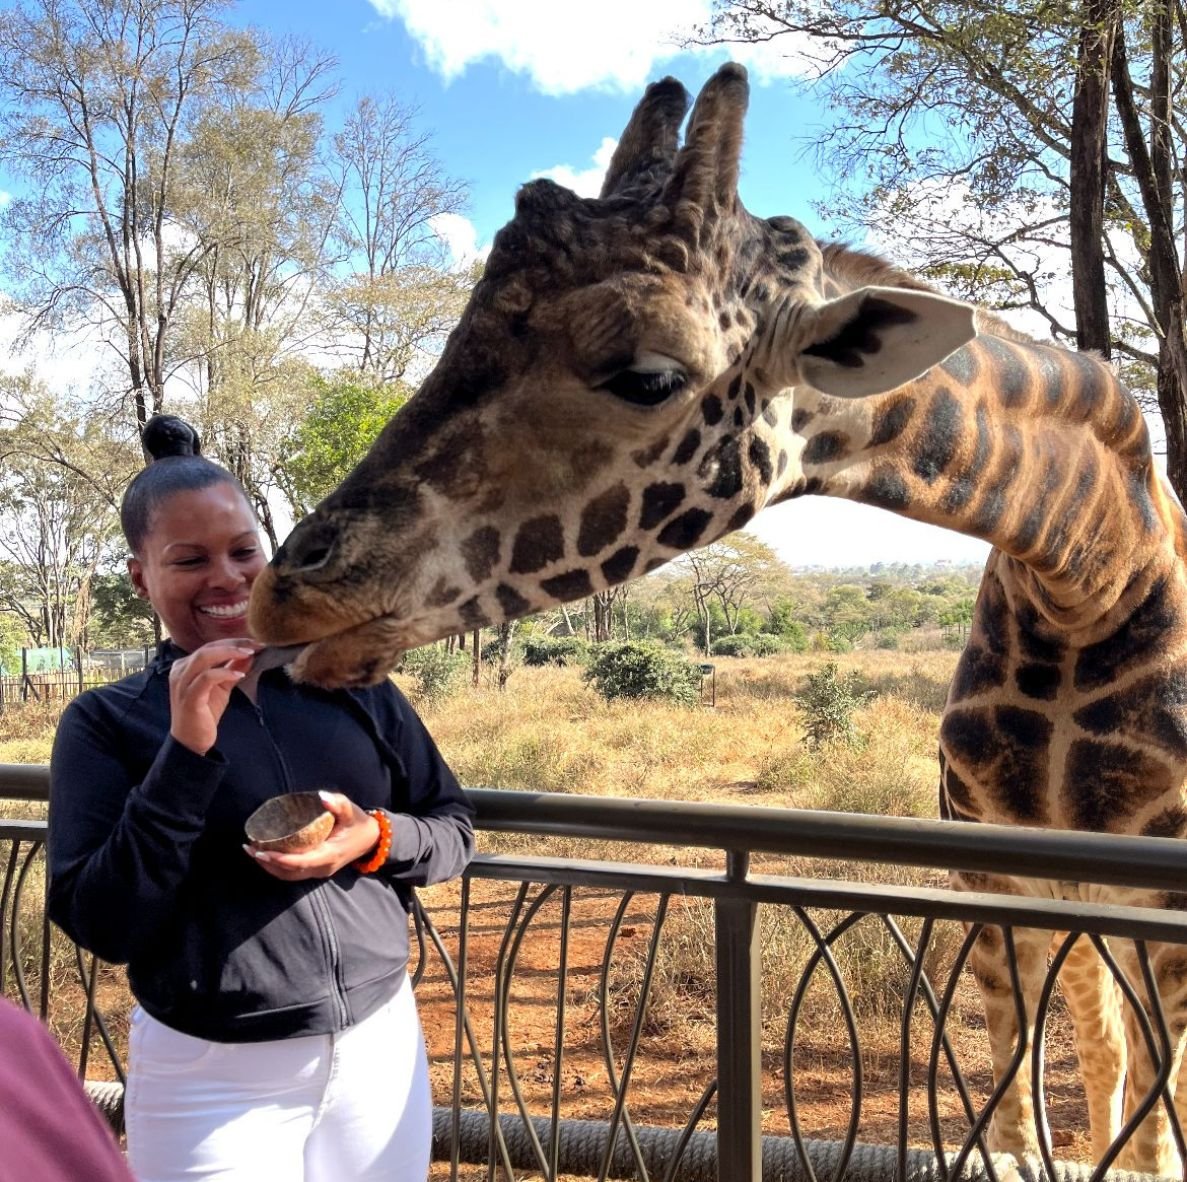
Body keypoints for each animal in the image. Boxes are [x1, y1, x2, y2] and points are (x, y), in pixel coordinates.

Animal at [249, 64, 1187, 1173]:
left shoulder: (1157, 902)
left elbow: (1150, 1125)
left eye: (647, 376)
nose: (289, 590)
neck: (1087, 575)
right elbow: (1018, 1105)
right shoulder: (985, 866)